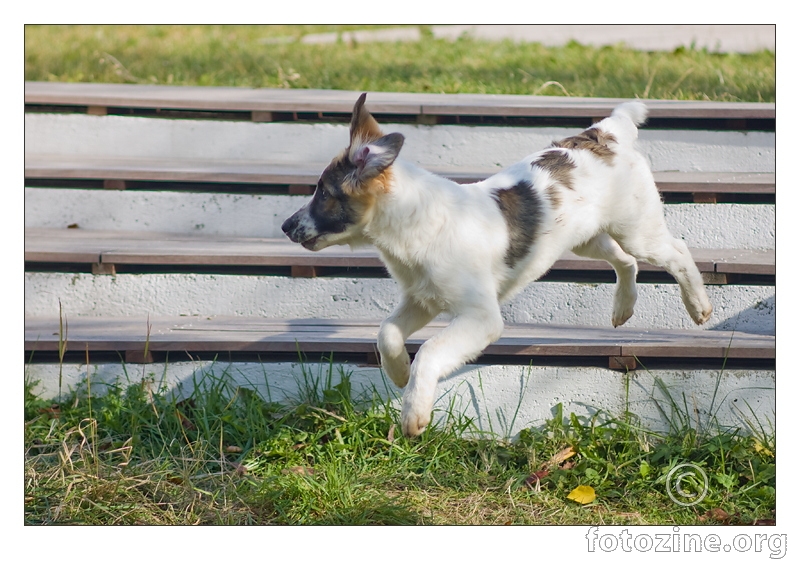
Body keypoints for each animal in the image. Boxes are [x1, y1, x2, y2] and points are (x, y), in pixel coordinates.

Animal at [282, 94, 712, 438]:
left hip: (637, 230)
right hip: (586, 239)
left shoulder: (481, 317)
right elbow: (386, 333)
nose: (285, 227)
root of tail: (601, 134)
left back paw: (699, 306)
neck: (413, 225)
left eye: (324, 194)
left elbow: (431, 351)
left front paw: (414, 411)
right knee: (625, 262)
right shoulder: (421, 300)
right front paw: (400, 371)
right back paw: (624, 306)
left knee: (675, 251)